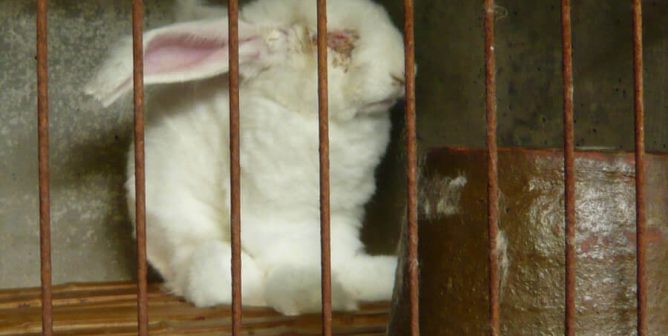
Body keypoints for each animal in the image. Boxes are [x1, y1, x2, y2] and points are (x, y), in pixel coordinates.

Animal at [86, 0, 404, 316]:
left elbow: (340, 256)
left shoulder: (342, 214)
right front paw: (313, 293)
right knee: (207, 278)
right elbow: (296, 255)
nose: (402, 74)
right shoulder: (276, 215)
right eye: (337, 39)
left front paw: (370, 280)